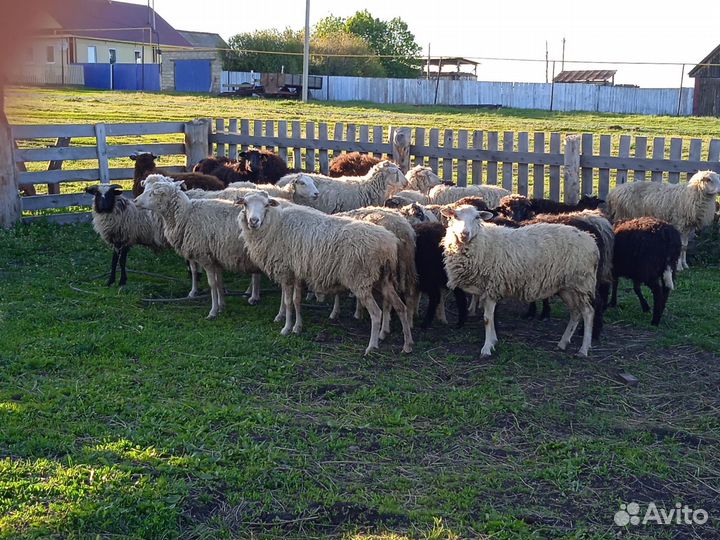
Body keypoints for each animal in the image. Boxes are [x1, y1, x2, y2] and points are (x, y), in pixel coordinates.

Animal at [135, 174, 262, 319]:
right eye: (145, 187)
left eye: (157, 192)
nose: (135, 200)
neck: (186, 214)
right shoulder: (216, 256)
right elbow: (219, 281)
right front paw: (221, 305)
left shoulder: (204, 255)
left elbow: (208, 280)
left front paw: (212, 310)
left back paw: (253, 296)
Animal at [235, 190, 414, 355]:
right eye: (245, 204)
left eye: (266, 205)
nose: (253, 221)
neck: (276, 225)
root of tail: (390, 244)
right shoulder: (297, 272)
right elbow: (295, 300)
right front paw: (297, 327)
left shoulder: (286, 271)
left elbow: (288, 301)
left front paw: (286, 328)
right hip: (383, 279)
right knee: (401, 307)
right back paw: (407, 345)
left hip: (360, 279)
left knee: (377, 313)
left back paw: (371, 347)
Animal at [442, 204, 599, 357]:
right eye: (455, 216)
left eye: (477, 217)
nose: (464, 234)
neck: (484, 243)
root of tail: (591, 240)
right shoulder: (487, 289)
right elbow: (490, 318)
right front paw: (493, 341)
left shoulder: (492, 287)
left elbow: (487, 319)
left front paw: (486, 348)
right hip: (566, 287)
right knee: (575, 312)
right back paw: (563, 343)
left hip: (580, 282)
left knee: (588, 312)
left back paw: (583, 349)